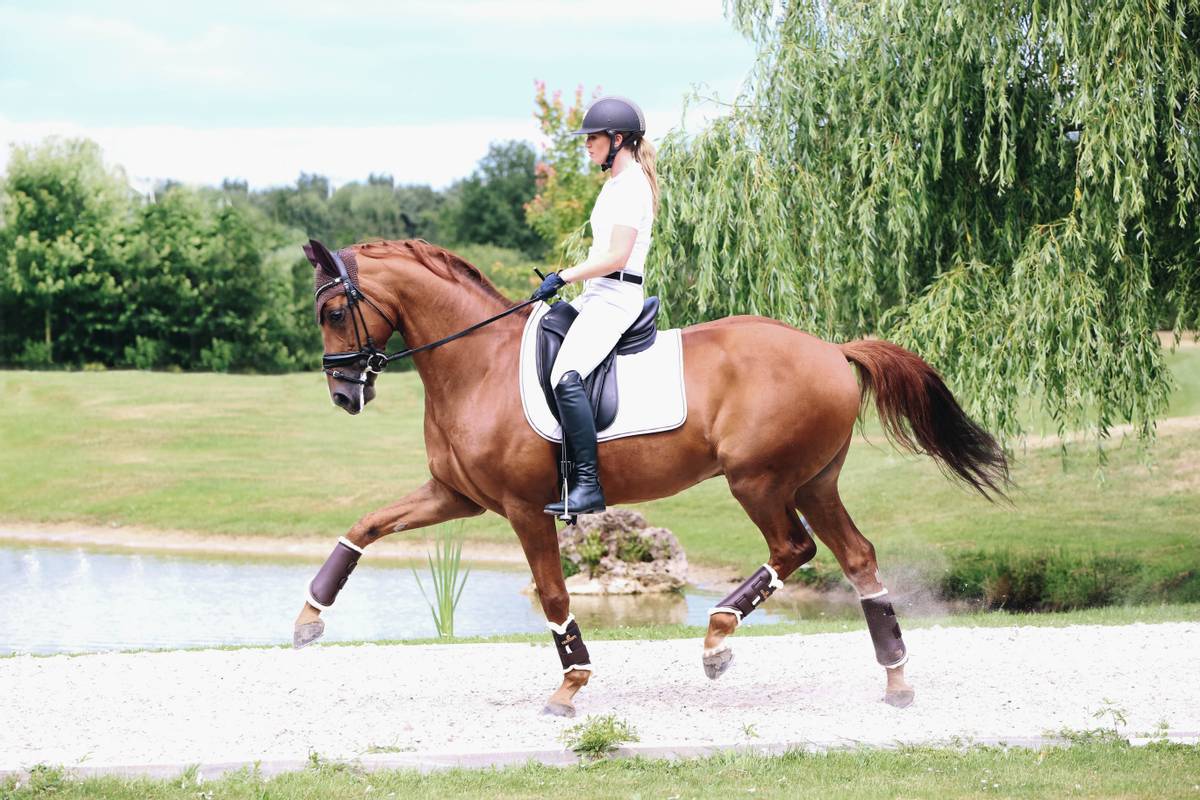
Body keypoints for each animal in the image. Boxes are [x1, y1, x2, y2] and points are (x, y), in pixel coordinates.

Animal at [295, 237, 1008, 714]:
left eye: (334, 314)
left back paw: (717, 639)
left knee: (793, 547)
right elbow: (367, 525)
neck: (477, 363)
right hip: (814, 481)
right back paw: (896, 679)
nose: (343, 395)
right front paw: (309, 617)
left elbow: (553, 596)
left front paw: (571, 684)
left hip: (758, 481)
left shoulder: (524, 510)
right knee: (857, 558)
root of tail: (832, 349)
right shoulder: (455, 497)